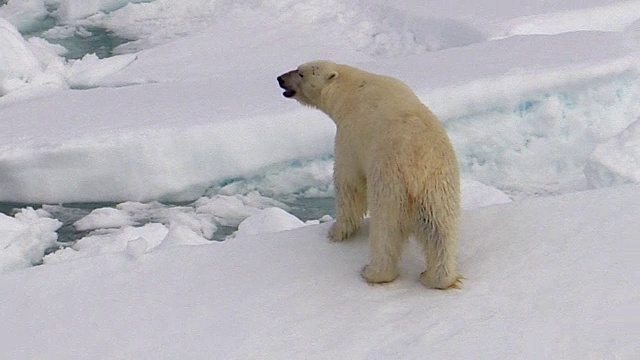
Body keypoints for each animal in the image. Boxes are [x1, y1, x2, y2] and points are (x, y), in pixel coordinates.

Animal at [278, 60, 462, 288]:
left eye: (301, 73)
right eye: (297, 68)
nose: (280, 79)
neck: (351, 88)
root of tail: (417, 170)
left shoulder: (349, 136)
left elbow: (349, 184)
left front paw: (335, 232)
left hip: (390, 186)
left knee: (385, 231)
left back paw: (372, 272)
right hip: (438, 188)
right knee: (441, 230)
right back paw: (436, 278)